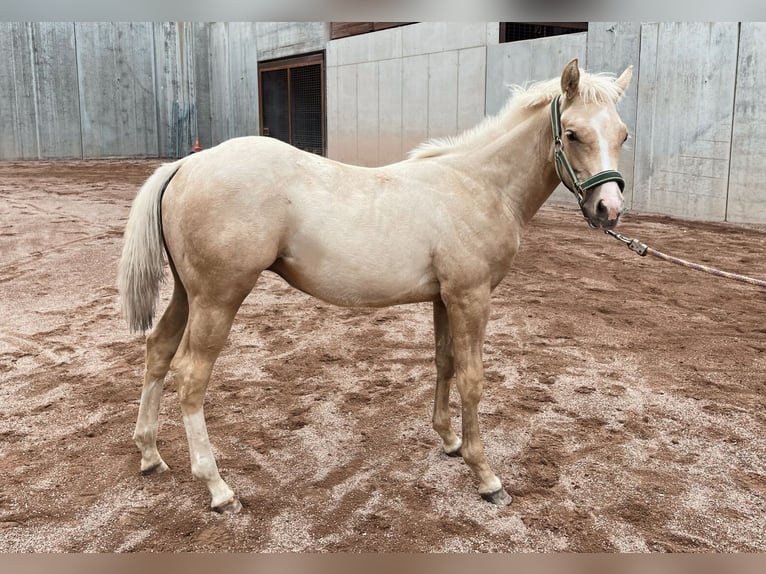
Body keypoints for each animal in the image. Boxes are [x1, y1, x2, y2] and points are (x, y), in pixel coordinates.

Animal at [118, 58, 633, 513]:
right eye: (573, 133)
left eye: (623, 134)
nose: (609, 210)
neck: (477, 185)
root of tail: (185, 167)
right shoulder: (471, 297)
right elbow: (472, 379)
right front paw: (486, 477)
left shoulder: (445, 298)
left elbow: (444, 362)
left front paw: (449, 440)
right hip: (219, 299)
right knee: (190, 376)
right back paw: (218, 489)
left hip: (189, 294)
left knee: (158, 350)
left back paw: (150, 454)